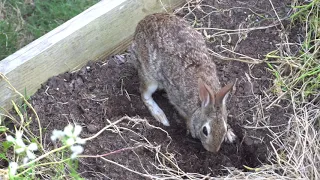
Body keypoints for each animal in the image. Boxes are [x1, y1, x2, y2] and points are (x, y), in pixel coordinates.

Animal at [129, 13, 235, 153]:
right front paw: (190, 129)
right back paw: (160, 116)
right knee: (144, 94)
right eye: (205, 131)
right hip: (150, 76)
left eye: (224, 128)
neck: (201, 103)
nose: (213, 150)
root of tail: (140, 25)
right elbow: (185, 116)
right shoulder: (179, 101)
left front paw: (230, 135)